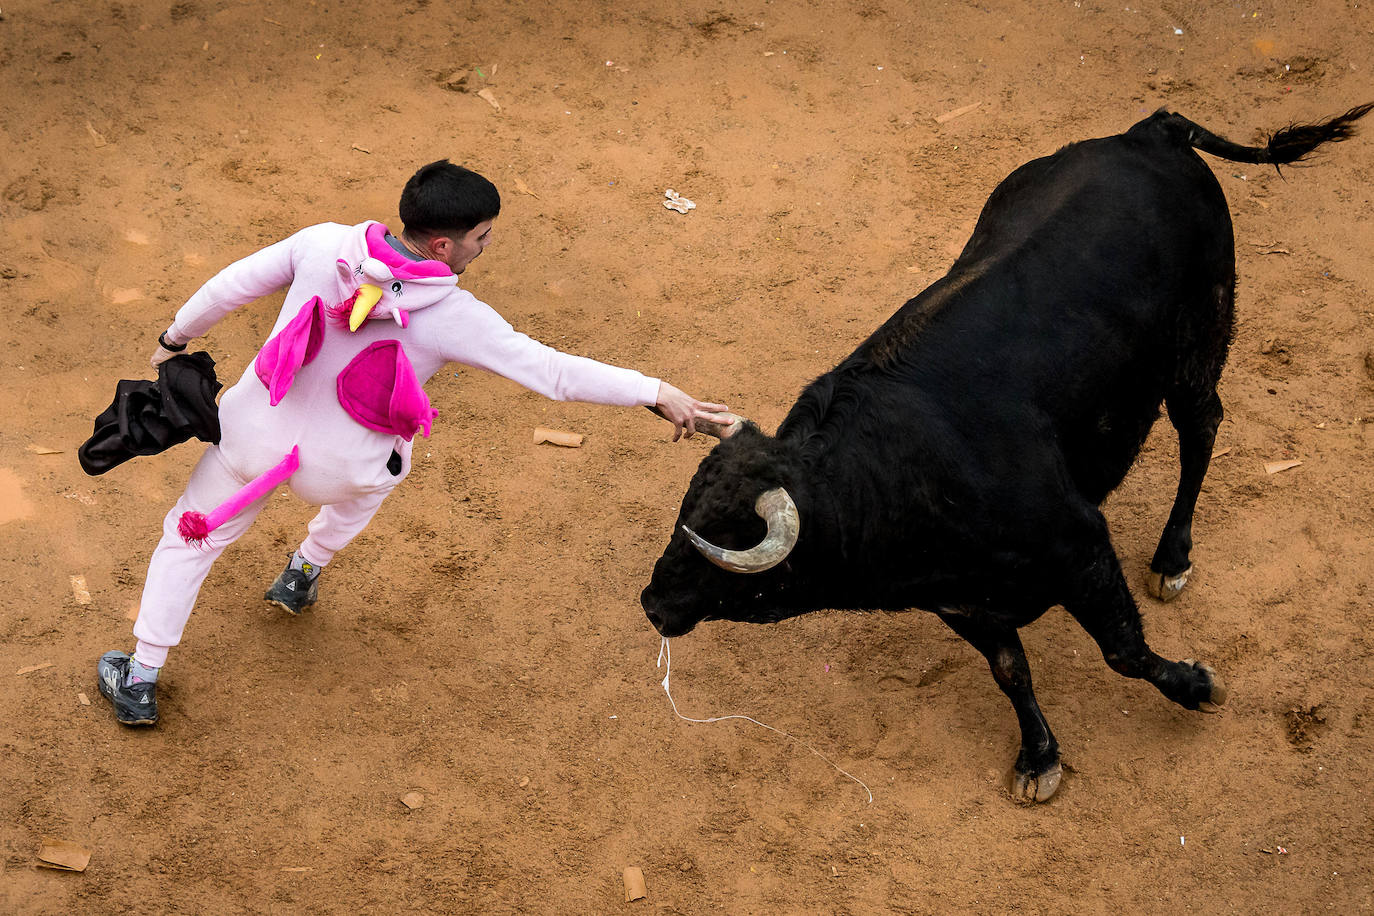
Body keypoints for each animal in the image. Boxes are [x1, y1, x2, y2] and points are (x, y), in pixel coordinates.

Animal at [637, 107, 1368, 802]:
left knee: (1201, 431)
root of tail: (1149, 133)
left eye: (724, 542)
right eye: (685, 518)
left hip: (1201, 342)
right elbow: (1010, 670)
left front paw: (1195, 684)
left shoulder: (1080, 545)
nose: (651, 603)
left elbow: (1123, 649)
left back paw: (1172, 558)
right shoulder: (965, 602)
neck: (887, 475)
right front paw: (1039, 758)